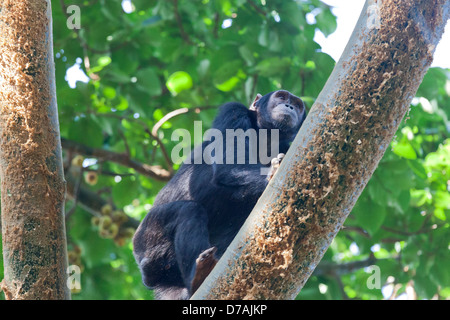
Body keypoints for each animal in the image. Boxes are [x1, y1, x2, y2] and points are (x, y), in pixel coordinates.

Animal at [133, 90, 306, 300]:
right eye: (281, 97)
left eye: (297, 104)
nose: (289, 106)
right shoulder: (233, 113)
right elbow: (228, 165)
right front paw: (272, 174)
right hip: (148, 240)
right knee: (188, 211)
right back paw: (199, 275)